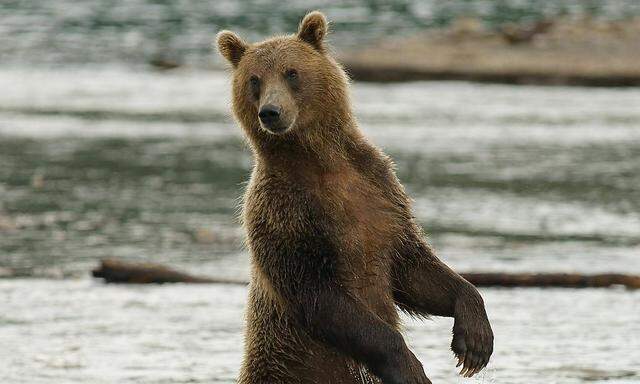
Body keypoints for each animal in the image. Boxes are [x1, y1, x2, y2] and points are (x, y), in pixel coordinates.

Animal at [218, 11, 492, 384]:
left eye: (292, 72)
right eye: (254, 80)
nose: (271, 112)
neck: (319, 162)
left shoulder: (379, 193)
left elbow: (413, 268)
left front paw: (474, 340)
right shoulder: (283, 212)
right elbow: (319, 293)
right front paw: (410, 368)